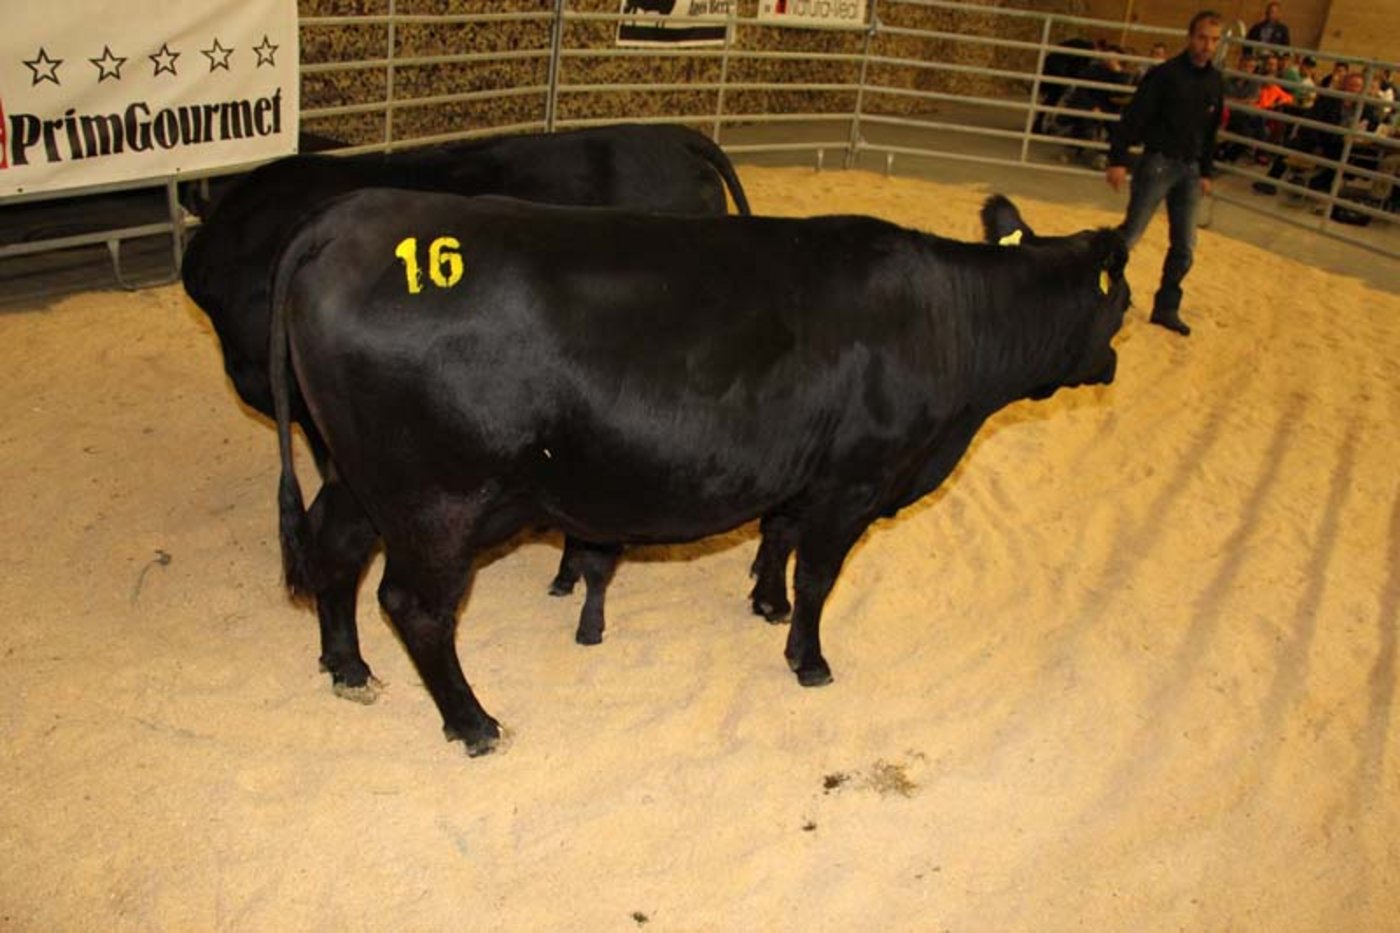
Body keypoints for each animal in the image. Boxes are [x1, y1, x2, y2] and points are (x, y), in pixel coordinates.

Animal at [267, 190, 1130, 756]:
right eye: (1118, 305)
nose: (1116, 363)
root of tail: (343, 219)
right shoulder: (855, 477)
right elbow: (820, 574)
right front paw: (809, 659)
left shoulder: (804, 470)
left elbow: (779, 534)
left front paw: (766, 603)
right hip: (438, 498)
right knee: (414, 604)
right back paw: (474, 722)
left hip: (365, 479)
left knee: (335, 551)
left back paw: (348, 667)